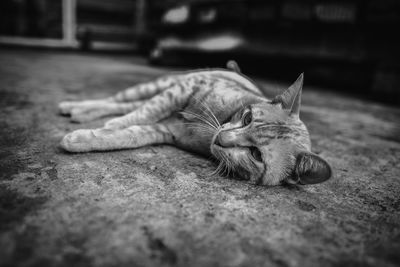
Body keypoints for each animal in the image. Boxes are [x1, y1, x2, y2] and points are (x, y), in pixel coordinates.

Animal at [58, 60, 332, 186]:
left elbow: (132, 135)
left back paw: (79, 112)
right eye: (247, 118)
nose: (221, 138)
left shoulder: (165, 130)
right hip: (160, 85)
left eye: (256, 154)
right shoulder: (182, 90)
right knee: (119, 101)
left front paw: (86, 138)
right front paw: (111, 126)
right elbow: (142, 114)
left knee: (125, 104)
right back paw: (76, 106)